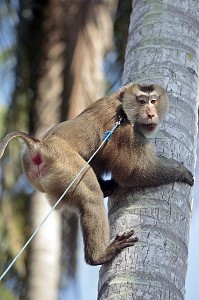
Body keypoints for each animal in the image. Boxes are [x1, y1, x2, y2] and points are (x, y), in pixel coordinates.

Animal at [0, 84, 194, 264]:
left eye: (153, 101)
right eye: (142, 101)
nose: (151, 114)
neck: (121, 105)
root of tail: (40, 145)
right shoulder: (124, 130)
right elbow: (133, 173)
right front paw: (180, 171)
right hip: (65, 165)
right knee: (91, 196)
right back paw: (99, 255)